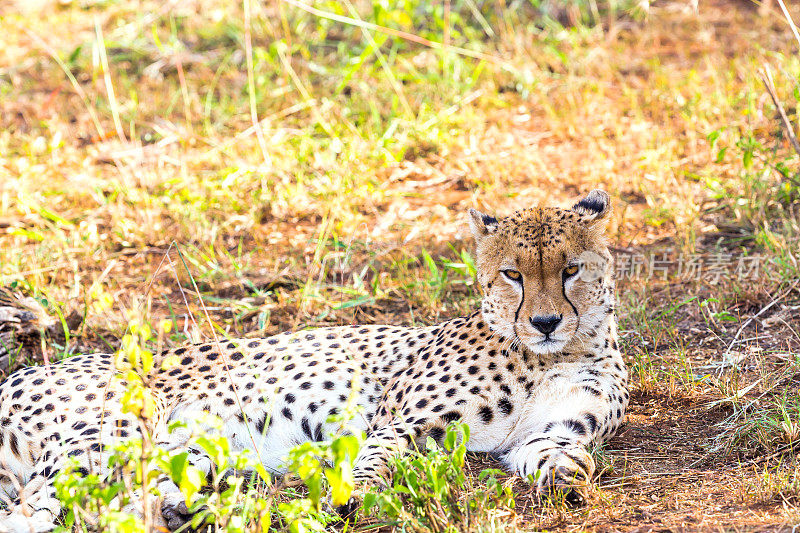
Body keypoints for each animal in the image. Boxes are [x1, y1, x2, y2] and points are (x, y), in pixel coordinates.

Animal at [0, 189, 624, 528]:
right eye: (513, 274)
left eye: (570, 269)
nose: (545, 322)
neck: (554, 355)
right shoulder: (402, 420)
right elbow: (378, 458)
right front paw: (360, 496)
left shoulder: (554, 429)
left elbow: (560, 454)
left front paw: (569, 478)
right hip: (114, 430)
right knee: (30, 513)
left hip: (180, 451)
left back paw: (181, 512)